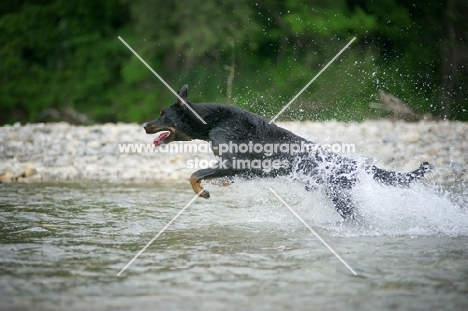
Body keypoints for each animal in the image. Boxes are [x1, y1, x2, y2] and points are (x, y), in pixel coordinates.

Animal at [144, 85, 432, 221]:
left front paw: (201, 190)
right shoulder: (241, 169)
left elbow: (195, 174)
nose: (145, 125)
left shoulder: (234, 162)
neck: (212, 121)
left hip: (339, 197)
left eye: (162, 114)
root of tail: (348, 163)